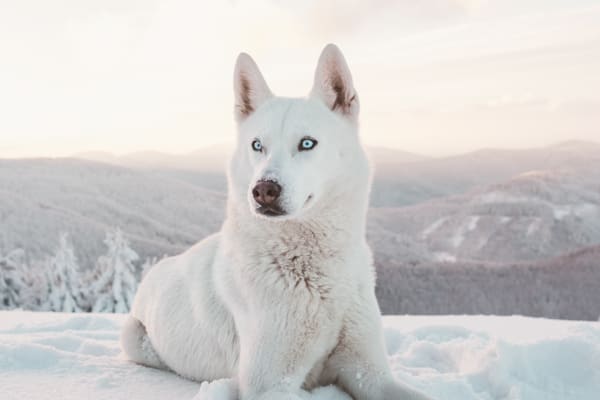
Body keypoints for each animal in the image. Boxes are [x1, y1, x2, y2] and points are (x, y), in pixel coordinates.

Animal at [122, 44, 432, 400]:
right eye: (257, 145)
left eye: (307, 143)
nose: (263, 191)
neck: (316, 272)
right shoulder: (269, 385)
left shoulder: (371, 373)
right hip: (133, 338)